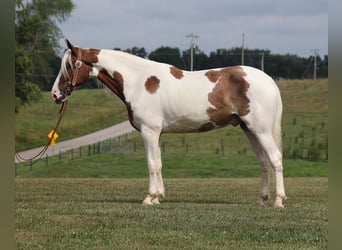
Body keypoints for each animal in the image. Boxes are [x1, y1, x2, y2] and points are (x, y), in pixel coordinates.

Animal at [50, 39, 286, 207]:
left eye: (69, 66)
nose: (55, 94)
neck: (139, 82)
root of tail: (269, 81)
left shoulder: (149, 131)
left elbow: (151, 163)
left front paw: (149, 197)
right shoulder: (157, 133)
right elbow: (159, 163)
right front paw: (158, 196)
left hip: (260, 130)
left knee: (275, 159)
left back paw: (278, 201)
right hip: (249, 130)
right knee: (263, 162)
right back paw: (261, 200)